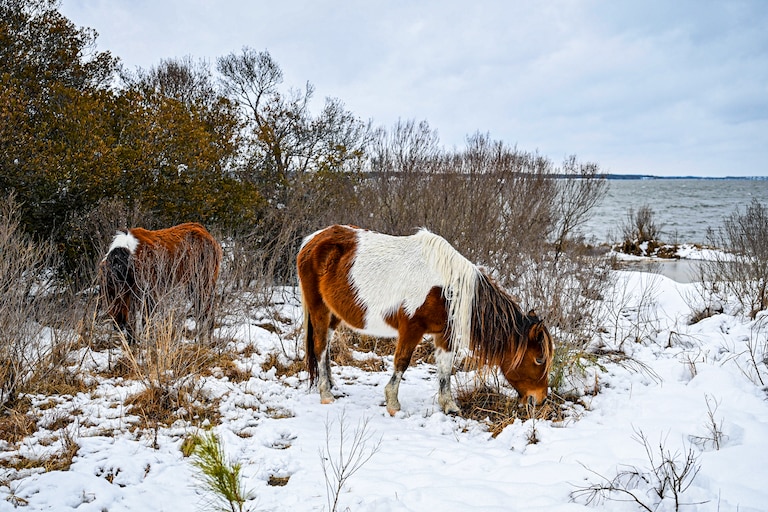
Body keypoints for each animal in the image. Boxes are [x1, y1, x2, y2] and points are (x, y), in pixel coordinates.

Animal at [297, 224, 554, 416]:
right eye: (539, 359)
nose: (539, 400)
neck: (446, 289)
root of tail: (311, 240)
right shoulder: (412, 329)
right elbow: (402, 362)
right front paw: (393, 404)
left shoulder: (445, 334)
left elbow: (445, 368)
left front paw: (449, 405)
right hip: (319, 309)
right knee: (319, 347)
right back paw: (326, 394)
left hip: (334, 314)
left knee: (326, 347)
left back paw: (332, 385)